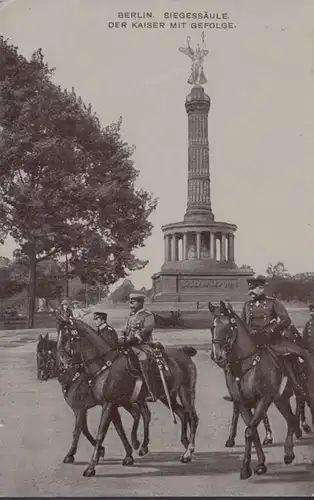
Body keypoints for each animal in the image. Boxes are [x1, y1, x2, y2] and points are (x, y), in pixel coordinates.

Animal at [36, 332, 152, 464]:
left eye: (43, 354)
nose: (40, 375)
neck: (73, 373)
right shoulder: (81, 409)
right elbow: (85, 429)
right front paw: (101, 449)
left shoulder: (80, 408)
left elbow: (78, 430)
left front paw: (70, 454)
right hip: (127, 401)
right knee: (138, 414)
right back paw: (137, 443)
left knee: (143, 414)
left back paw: (141, 445)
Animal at [57, 316, 199, 476]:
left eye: (67, 337)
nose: (62, 366)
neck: (105, 366)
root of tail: (184, 352)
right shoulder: (110, 405)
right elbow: (119, 428)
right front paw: (127, 454)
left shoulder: (107, 404)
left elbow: (101, 433)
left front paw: (91, 466)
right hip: (167, 395)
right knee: (181, 413)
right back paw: (182, 445)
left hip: (186, 391)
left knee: (193, 417)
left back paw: (188, 453)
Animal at [207, 300, 314, 480]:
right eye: (212, 327)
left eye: (228, 327)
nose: (218, 356)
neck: (245, 366)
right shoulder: (243, 402)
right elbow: (253, 430)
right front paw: (260, 464)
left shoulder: (263, 400)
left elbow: (249, 431)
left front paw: (246, 469)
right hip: (281, 399)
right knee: (291, 418)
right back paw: (289, 452)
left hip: (304, 393)